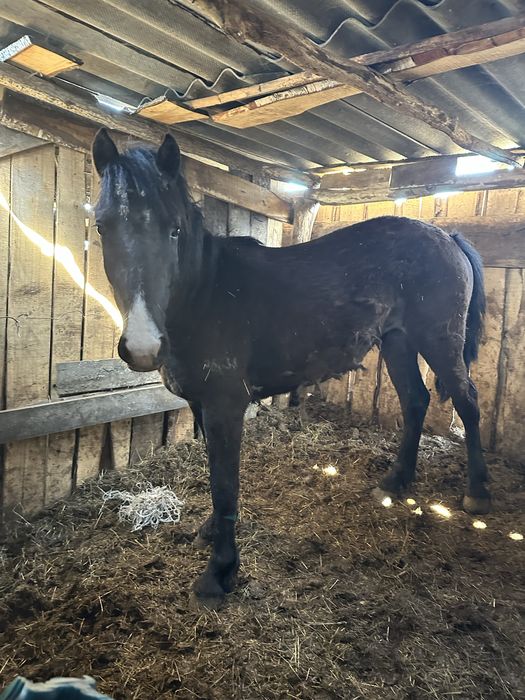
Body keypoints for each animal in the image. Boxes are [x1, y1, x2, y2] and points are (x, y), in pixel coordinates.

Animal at [92, 129, 490, 607]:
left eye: (174, 230)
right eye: (102, 226)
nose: (143, 346)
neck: (207, 295)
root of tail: (447, 237)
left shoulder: (226, 406)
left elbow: (224, 484)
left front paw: (219, 574)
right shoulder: (203, 406)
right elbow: (213, 476)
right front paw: (210, 534)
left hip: (439, 341)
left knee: (467, 402)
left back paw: (477, 494)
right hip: (398, 342)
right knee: (416, 400)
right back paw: (395, 483)